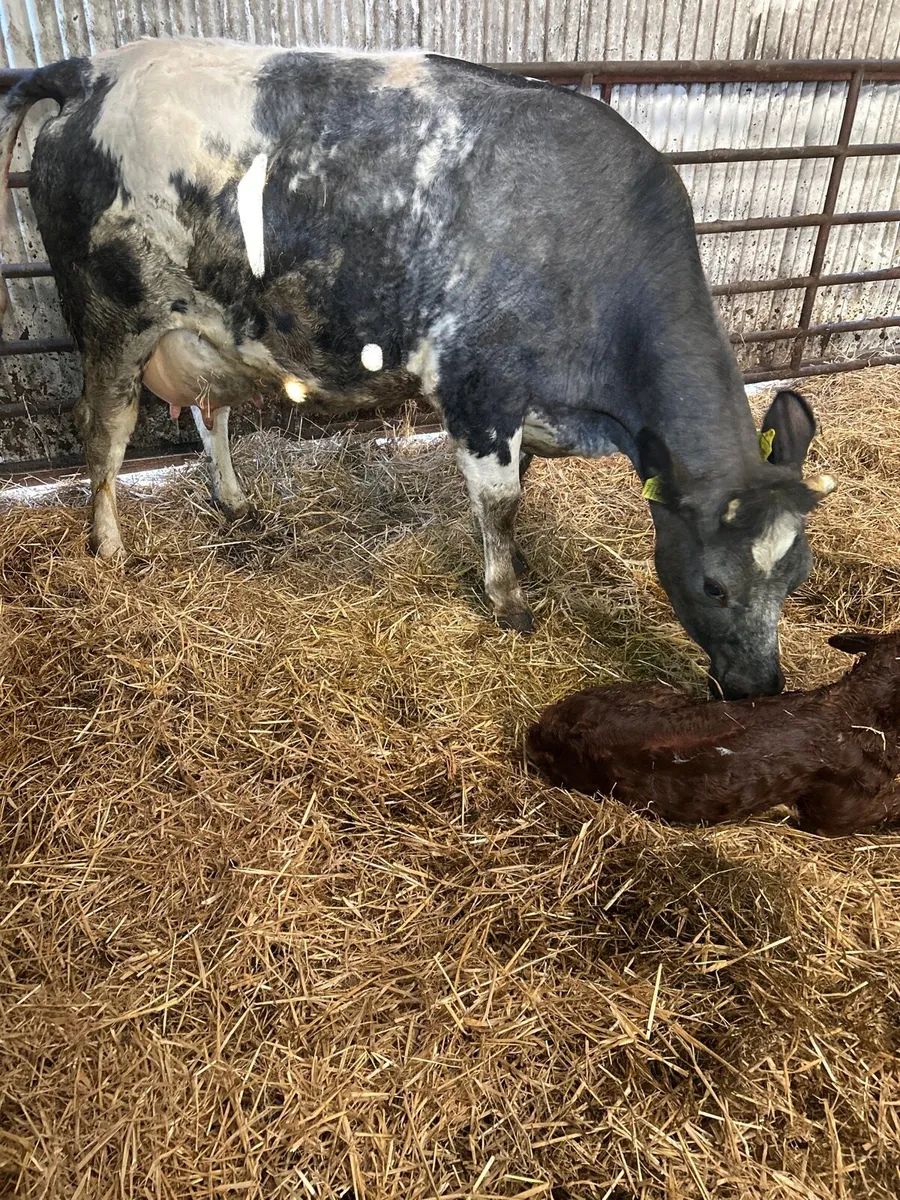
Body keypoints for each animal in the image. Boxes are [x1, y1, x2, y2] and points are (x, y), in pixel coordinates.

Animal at [0, 38, 836, 699]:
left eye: (798, 577)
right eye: (713, 584)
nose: (763, 686)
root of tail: (95, 69)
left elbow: (517, 495)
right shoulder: (478, 389)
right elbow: (500, 503)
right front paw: (508, 600)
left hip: (213, 322)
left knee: (214, 415)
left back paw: (235, 501)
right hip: (112, 320)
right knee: (103, 434)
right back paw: (109, 546)